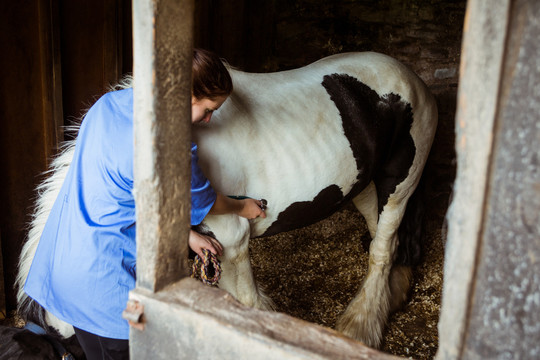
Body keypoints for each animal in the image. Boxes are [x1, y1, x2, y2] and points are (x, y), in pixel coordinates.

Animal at [16, 52, 438, 348]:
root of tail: (415, 81)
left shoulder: (233, 240)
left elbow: (246, 307)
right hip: (365, 187)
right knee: (384, 239)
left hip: (398, 186)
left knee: (382, 250)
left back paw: (359, 327)